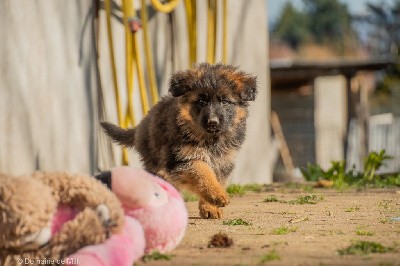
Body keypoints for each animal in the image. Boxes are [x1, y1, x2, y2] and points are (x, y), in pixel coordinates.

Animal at [101, 63, 258, 219]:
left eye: (225, 101)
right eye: (201, 101)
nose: (213, 122)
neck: (210, 140)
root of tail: (141, 125)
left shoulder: (223, 162)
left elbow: (217, 178)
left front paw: (210, 207)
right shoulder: (181, 159)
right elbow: (202, 172)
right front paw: (216, 194)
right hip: (157, 163)